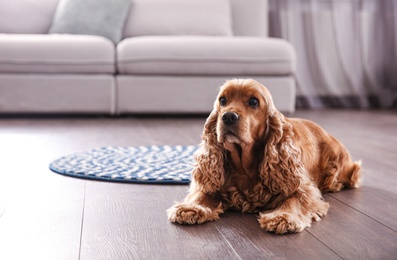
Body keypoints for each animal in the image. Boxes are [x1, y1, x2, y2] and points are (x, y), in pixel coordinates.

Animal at [166, 78, 360, 234]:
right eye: (223, 100)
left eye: (253, 102)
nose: (228, 116)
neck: (244, 168)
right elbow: (201, 193)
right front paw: (191, 208)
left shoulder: (304, 188)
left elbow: (295, 200)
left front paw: (282, 217)